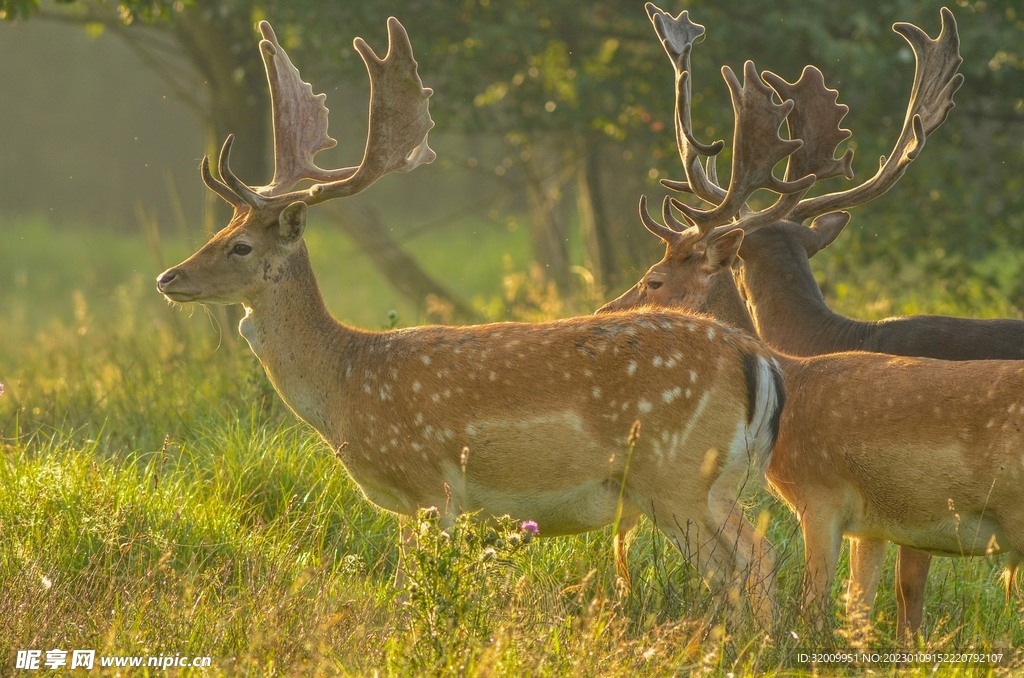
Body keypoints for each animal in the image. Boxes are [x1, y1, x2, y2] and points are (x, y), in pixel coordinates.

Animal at [154, 17, 787, 627]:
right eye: (219, 231)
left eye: (239, 246)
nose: (168, 277)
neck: (344, 384)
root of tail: (756, 357)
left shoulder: (428, 486)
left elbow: (412, 591)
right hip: (715, 482)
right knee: (753, 560)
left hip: (676, 475)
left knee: (748, 560)